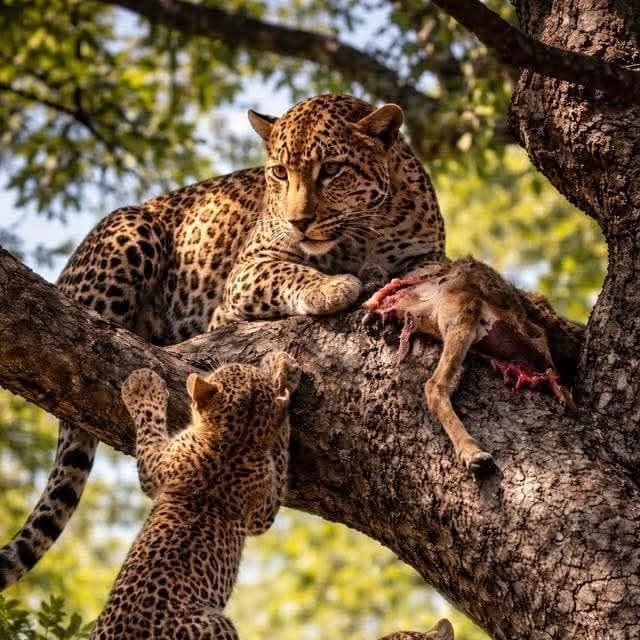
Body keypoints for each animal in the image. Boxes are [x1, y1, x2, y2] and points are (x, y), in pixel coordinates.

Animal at [0, 93, 445, 588]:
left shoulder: (428, 257)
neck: (367, 232)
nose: (299, 221)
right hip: (131, 230)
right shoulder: (247, 274)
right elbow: (289, 272)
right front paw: (334, 285)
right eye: (279, 173)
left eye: (332, 170)